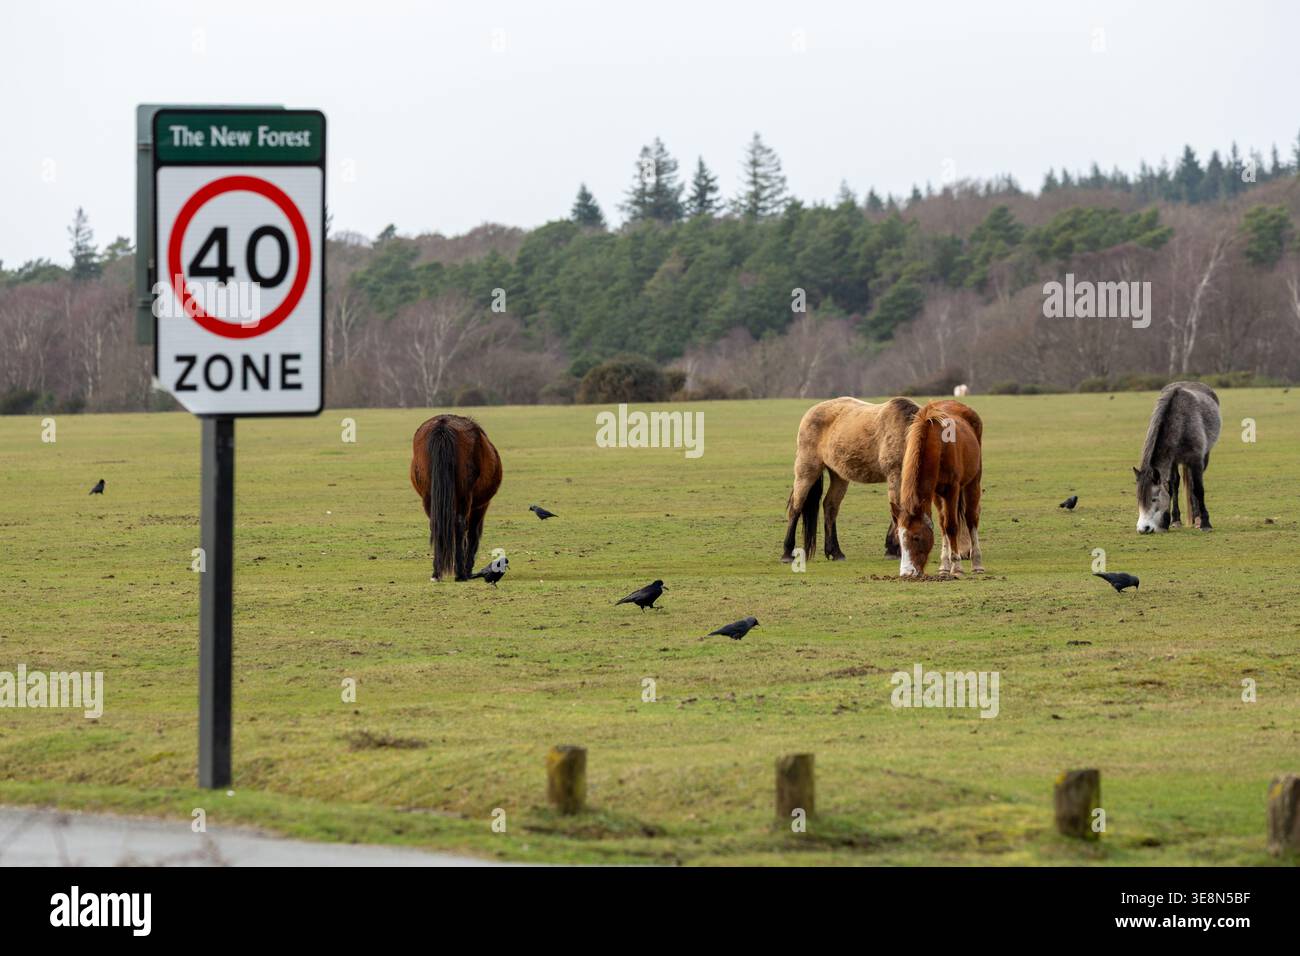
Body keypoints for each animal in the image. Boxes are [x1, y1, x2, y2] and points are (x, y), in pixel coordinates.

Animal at [410, 414, 503, 581]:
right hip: (465, 498)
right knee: (461, 525)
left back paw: (437, 572)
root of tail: (443, 425)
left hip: (429, 497)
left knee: (436, 525)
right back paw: (461, 573)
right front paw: (468, 568)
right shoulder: (481, 506)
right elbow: (473, 534)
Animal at [781, 396, 920, 563]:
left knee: (830, 506)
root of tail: (811, 411)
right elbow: (897, 507)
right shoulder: (895, 475)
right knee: (796, 507)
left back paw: (835, 552)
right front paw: (893, 549)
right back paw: (787, 552)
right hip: (806, 471)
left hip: (839, 475)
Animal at [895, 400, 984, 577]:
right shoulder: (935, 491)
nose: (906, 573)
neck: (939, 444)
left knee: (971, 518)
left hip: (973, 482)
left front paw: (957, 567)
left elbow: (951, 526)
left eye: (916, 537)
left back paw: (977, 563)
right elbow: (943, 525)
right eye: (899, 540)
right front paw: (945, 566)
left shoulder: (952, 489)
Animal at [1134, 381, 1220, 534]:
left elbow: (1198, 489)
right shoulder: (1172, 460)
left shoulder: (1196, 460)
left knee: (1192, 485)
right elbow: (1171, 487)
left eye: (1154, 499)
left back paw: (1197, 518)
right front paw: (1171, 521)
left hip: (1203, 457)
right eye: (1139, 499)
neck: (1180, 421)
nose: (1143, 529)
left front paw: (1205, 523)